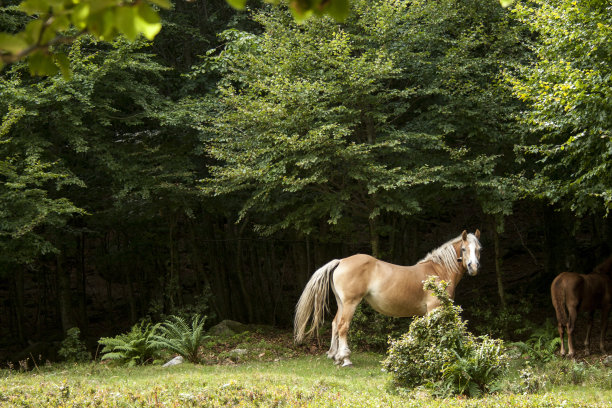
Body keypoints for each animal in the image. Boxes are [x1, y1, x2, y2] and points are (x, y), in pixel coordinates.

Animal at [294, 230, 480, 366]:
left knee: (334, 324)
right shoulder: (435, 308)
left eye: (478, 249)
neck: (438, 271)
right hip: (350, 303)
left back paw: (333, 355)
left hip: (341, 303)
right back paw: (345, 359)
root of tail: (341, 261)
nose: (474, 267)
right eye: (464, 249)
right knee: (343, 327)